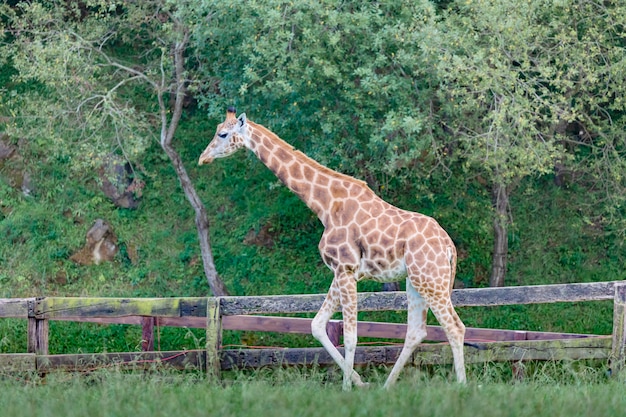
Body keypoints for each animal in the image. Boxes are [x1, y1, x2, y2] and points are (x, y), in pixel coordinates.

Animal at [197, 108, 466, 390]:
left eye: (222, 133)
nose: (203, 158)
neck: (324, 205)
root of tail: (449, 247)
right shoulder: (341, 271)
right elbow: (317, 325)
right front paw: (359, 383)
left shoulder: (345, 268)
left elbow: (350, 336)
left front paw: (347, 388)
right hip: (415, 281)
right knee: (416, 331)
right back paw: (386, 386)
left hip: (431, 280)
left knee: (454, 327)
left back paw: (462, 385)